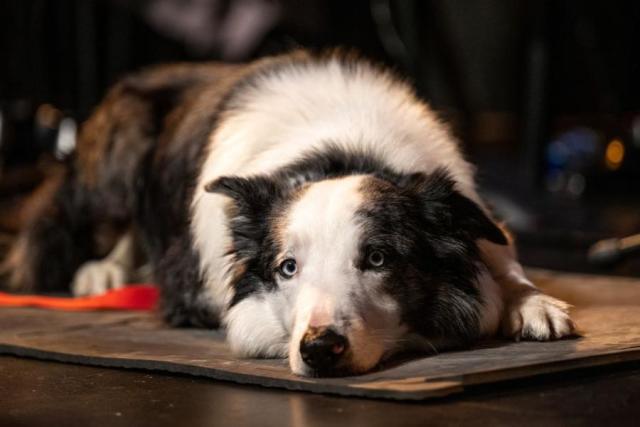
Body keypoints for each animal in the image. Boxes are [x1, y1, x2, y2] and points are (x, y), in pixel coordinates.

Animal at [2, 51, 576, 378]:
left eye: (378, 258)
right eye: (288, 267)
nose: (320, 349)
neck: (343, 147)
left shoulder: (473, 213)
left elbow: (503, 258)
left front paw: (531, 302)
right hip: (118, 154)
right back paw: (106, 269)